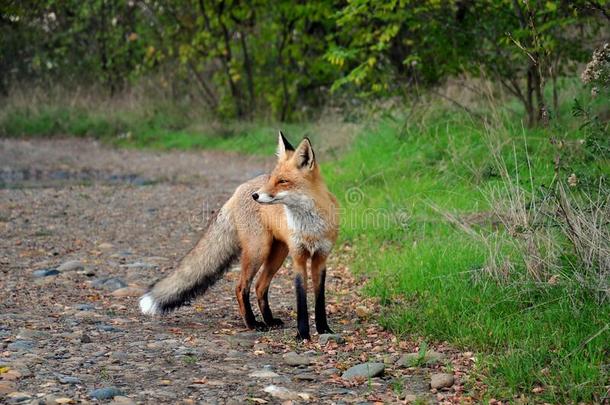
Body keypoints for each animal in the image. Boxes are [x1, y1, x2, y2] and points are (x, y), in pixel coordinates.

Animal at [139, 132, 338, 338]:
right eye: (272, 179)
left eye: (283, 181)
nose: (256, 196)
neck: (310, 228)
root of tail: (240, 188)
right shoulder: (298, 257)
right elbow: (301, 300)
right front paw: (302, 335)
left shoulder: (321, 258)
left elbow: (319, 298)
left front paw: (324, 329)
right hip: (258, 251)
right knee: (241, 287)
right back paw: (252, 324)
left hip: (277, 253)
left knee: (259, 286)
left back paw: (269, 320)